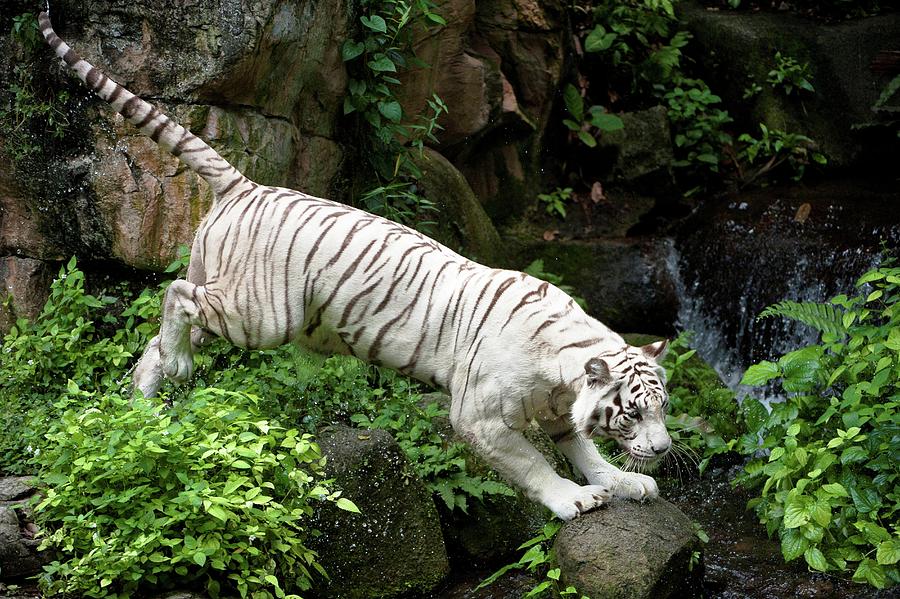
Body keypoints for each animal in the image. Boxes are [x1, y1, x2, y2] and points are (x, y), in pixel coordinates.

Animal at [38, 12, 668, 520]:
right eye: (632, 414)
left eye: (664, 409)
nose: (664, 449)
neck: (564, 370)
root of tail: (246, 184)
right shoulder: (480, 416)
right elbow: (532, 463)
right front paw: (574, 500)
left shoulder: (561, 412)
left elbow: (584, 448)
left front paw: (624, 481)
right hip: (262, 316)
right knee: (175, 294)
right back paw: (176, 367)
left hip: (230, 294)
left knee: (165, 326)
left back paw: (149, 394)